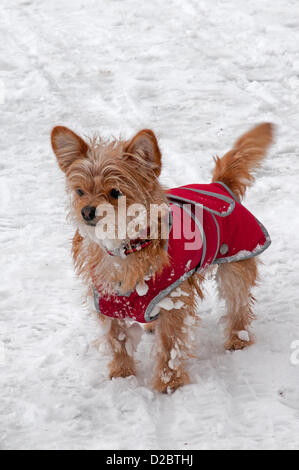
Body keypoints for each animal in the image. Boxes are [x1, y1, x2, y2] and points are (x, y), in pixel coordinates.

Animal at [51, 122, 274, 392]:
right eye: (80, 191)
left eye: (115, 192)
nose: (86, 212)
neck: (126, 248)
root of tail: (219, 185)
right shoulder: (107, 300)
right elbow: (118, 338)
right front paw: (122, 374)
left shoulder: (174, 299)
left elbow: (170, 346)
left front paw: (169, 383)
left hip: (236, 263)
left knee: (238, 303)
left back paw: (238, 338)